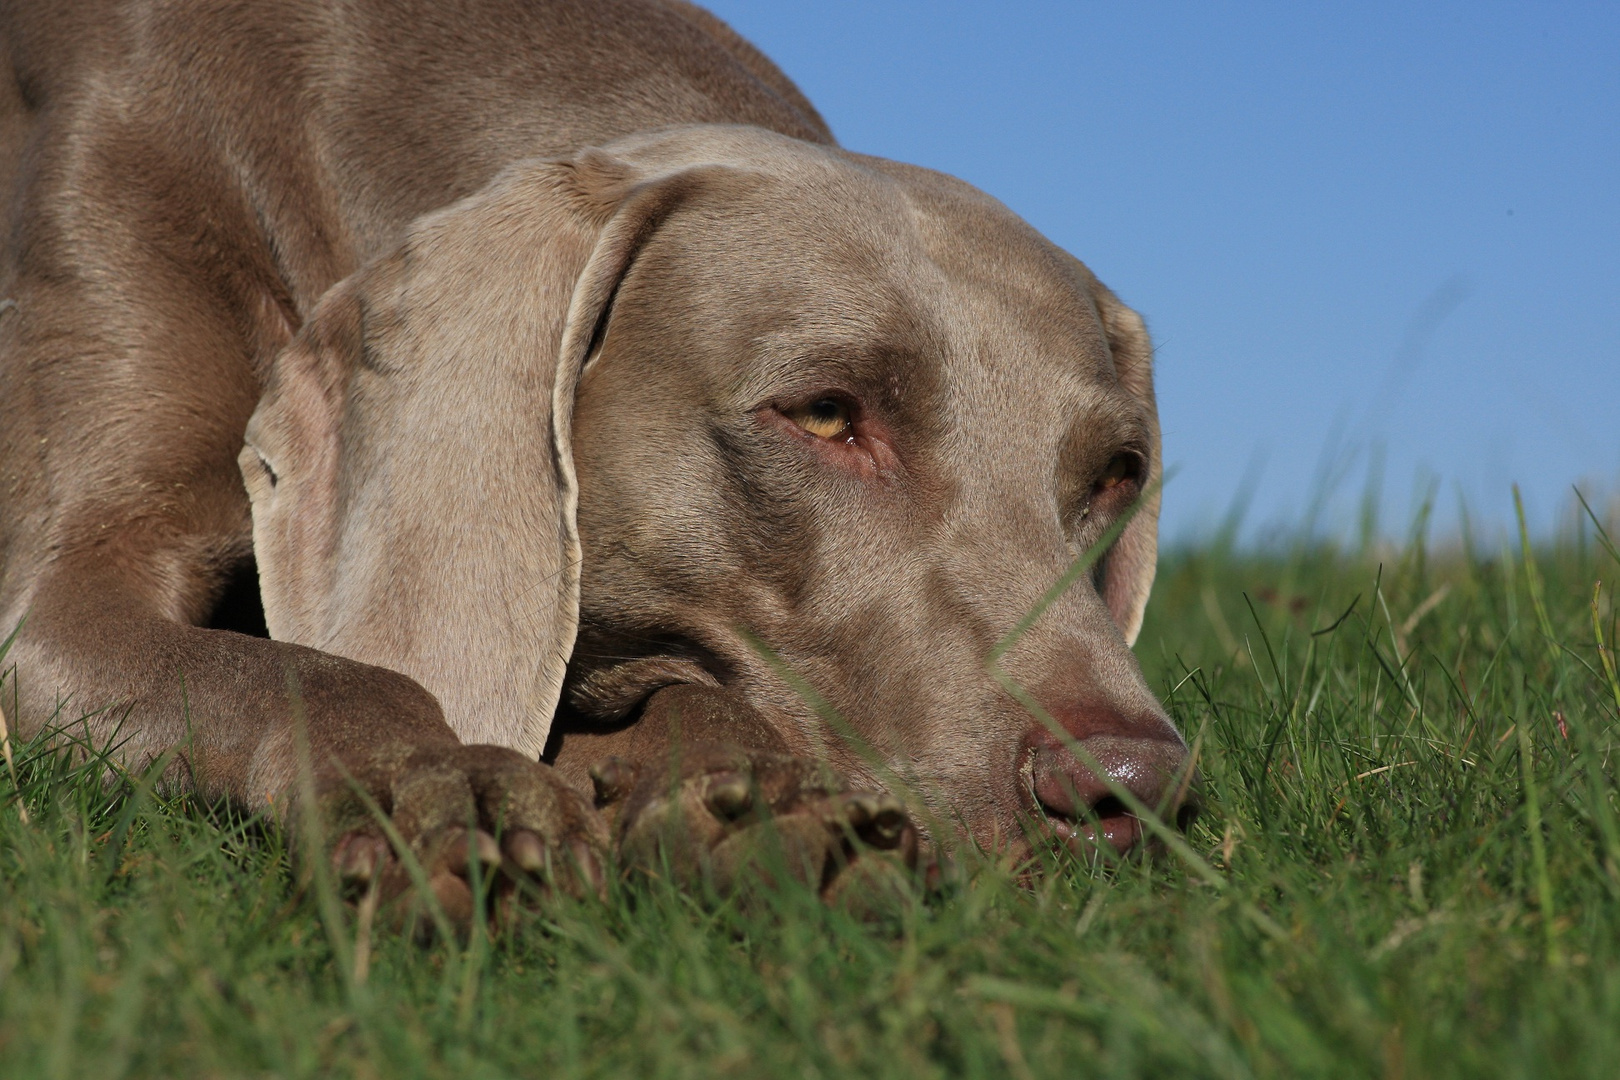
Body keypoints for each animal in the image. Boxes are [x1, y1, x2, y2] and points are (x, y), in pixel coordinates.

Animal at [0, 0, 1192, 919]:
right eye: (823, 415)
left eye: (1117, 474)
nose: (1128, 789)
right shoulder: (64, 602)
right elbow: (310, 675)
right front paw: (439, 790)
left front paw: (756, 804)